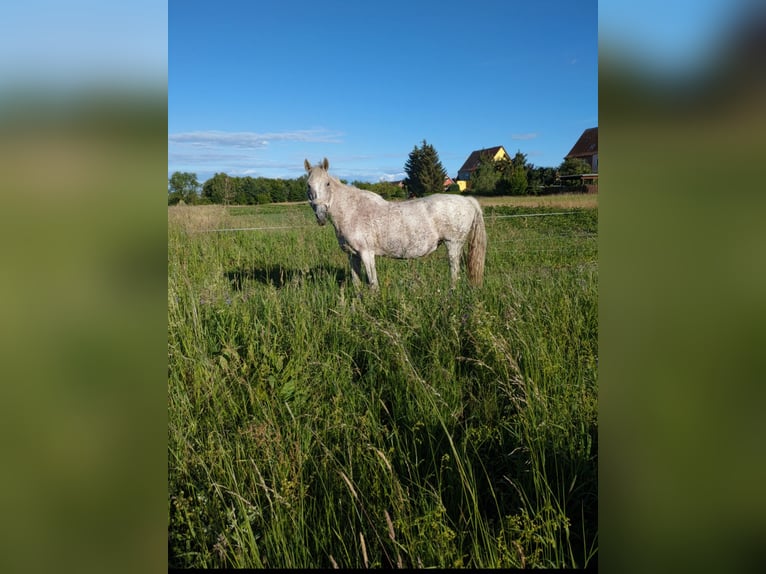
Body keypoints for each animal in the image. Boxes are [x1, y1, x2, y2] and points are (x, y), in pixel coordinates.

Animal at [304, 156, 486, 288]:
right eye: (308, 185)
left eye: (327, 183)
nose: (320, 215)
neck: (353, 211)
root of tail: (468, 201)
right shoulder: (352, 255)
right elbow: (357, 284)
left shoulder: (367, 253)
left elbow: (373, 285)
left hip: (453, 244)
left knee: (454, 273)